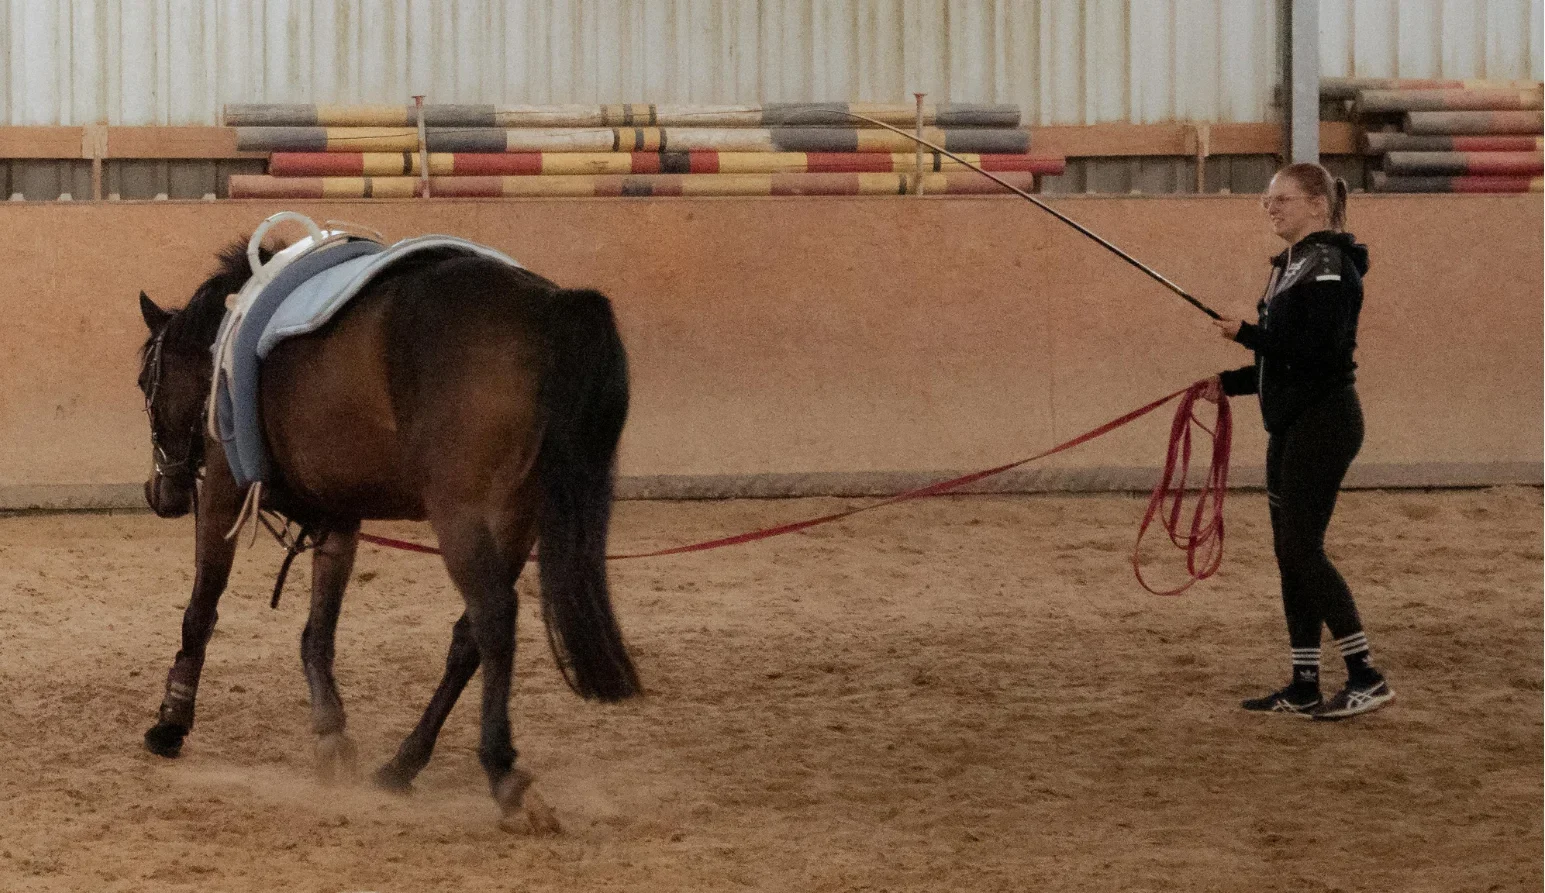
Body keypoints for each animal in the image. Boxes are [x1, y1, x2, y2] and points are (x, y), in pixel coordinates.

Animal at [135, 235, 641, 827]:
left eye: (146, 383)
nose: (159, 492)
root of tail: (549, 308)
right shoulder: (338, 517)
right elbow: (317, 633)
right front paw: (330, 733)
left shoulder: (221, 492)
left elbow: (201, 611)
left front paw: (171, 720)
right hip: (516, 521)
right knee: (468, 637)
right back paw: (404, 764)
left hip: (462, 516)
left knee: (493, 618)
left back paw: (502, 771)